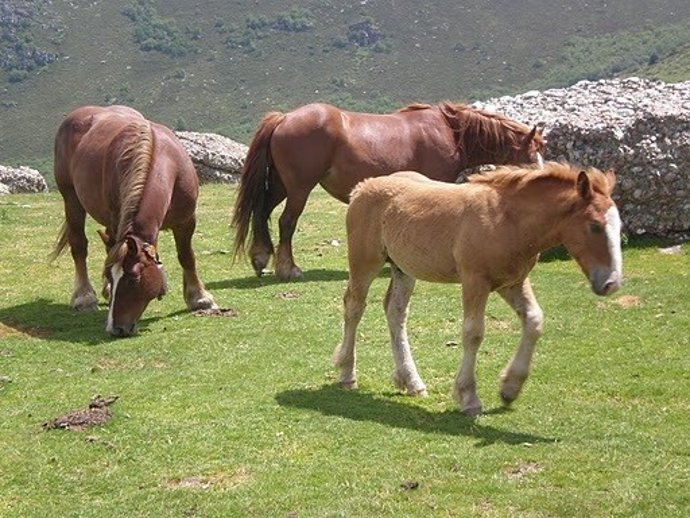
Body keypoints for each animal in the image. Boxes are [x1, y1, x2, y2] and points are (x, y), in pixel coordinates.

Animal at [50, 105, 217, 337]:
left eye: (134, 279)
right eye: (113, 276)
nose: (116, 328)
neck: (164, 162)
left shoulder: (186, 221)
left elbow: (186, 256)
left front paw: (200, 298)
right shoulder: (117, 218)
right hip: (71, 197)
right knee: (79, 246)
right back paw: (84, 296)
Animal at [231, 101, 545, 281]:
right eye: (532, 154)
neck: (450, 131)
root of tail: (284, 118)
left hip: (282, 185)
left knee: (262, 212)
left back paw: (260, 258)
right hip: (299, 188)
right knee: (286, 222)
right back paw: (288, 268)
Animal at [333, 162, 623, 416]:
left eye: (618, 226)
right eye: (594, 226)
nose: (612, 283)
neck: (508, 221)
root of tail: (362, 187)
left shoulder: (513, 282)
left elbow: (534, 320)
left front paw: (509, 389)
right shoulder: (475, 280)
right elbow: (473, 333)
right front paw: (469, 397)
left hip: (403, 269)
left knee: (395, 312)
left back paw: (411, 381)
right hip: (365, 261)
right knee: (354, 306)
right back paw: (347, 374)